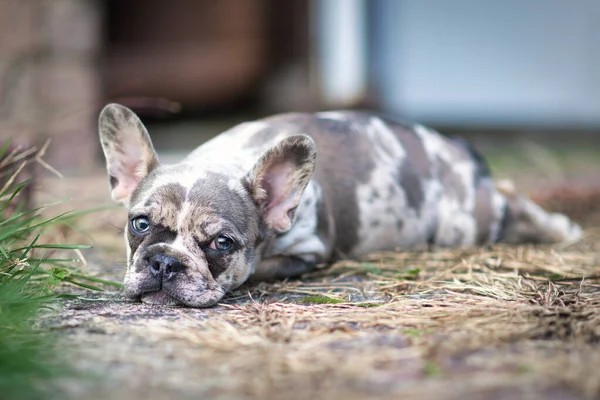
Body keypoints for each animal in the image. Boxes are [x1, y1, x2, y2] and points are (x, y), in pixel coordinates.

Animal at [98, 104, 580, 308]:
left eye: (222, 244)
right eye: (140, 224)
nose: (165, 262)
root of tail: (459, 151)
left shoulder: (307, 250)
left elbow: (262, 269)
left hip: (463, 223)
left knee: (509, 200)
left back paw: (560, 228)